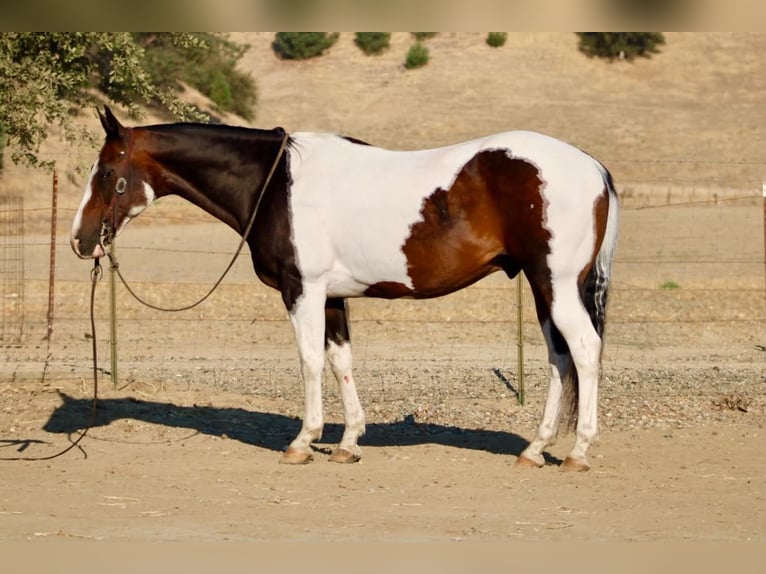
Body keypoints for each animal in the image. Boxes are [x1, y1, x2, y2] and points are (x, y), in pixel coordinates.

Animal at [71, 106, 618, 471]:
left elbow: (310, 360)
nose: (80, 240)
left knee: (584, 350)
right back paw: (535, 449)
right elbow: (340, 361)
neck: (276, 182)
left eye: (107, 171)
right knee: (560, 359)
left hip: (555, 283)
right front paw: (348, 442)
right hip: (544, 288)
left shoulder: (303, 290)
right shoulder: (333, 296)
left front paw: (303, 441)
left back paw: (578, 451)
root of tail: (592, 166)